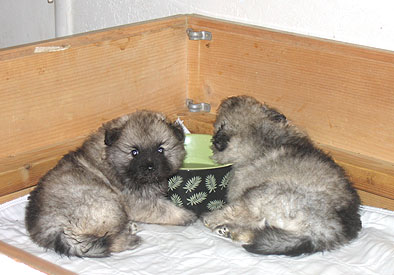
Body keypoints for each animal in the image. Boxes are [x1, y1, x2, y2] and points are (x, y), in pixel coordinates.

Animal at [25, 111, 196, 258]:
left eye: (160, 149)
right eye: (134, 152)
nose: (150, 168)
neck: (110, 157)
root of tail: (50, 229)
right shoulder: (138, 202)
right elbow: (163, 209)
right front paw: (186, 215)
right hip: (108, 205)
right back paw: (129, 238)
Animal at [202, 96, 362, 258]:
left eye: (220, 126)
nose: (228, 100)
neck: (263, 137)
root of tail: (326, 230)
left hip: (264, 193)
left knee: (240, 213)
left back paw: (213, 220)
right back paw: (229, 231)